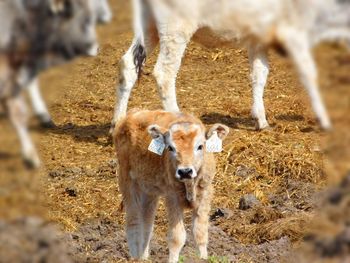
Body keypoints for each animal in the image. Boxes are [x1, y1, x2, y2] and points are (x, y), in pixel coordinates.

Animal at [110, 0, 350, 132]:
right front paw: (324, 120)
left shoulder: (259, 39)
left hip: (149, 26)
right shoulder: (294, 32)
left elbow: (259, 76)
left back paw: (117, 124)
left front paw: (261, 120)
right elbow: (309, 74)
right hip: (176, 28)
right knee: (164, 73)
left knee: (127, 65)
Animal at [113, 110, 230, 262]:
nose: (185, 171)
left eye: (200, 146)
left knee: (147, 223)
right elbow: (177, 237)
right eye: (170, 148)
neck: (189, 186)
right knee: (133, 222)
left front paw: (203, 258)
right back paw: (135, 258)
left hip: (149, 191)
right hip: (127, 181)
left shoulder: (205, 194)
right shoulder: (172, 197)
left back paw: (144, 257)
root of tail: (132, 114)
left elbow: (200, 233)